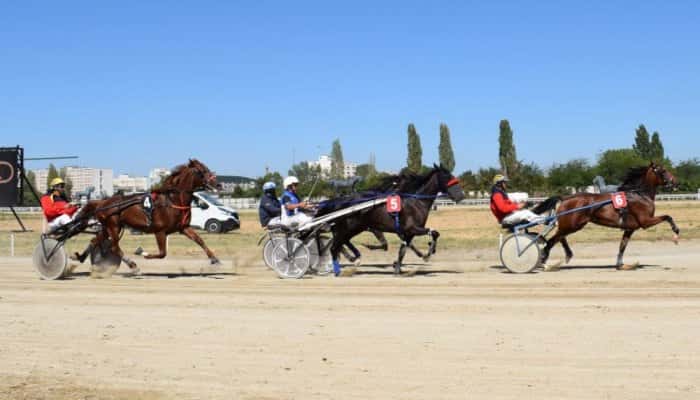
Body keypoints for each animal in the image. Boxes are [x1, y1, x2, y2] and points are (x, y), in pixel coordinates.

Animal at [74, 158, 219, 274]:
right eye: (202, 170)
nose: (218, 184)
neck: (172, 200)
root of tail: (102, 202)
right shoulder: (160, 231)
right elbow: (162, 254)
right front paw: (140, 251)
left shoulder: (183, 228)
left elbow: (199, 240)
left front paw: (214, 259)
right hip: (113, 226)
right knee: (114, 247)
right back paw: (133, 265)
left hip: (108, 227)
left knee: (95, 241)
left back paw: (81, 257)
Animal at [322, 164, 464, 274]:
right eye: (447, 177)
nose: (460, 195)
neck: (416, 202)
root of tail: (343, 201)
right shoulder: (412, 228)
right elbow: (434, 233)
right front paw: (429, 252)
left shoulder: (408, 232)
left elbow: (403, 249)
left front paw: (398, 266)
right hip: (349, 228)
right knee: (334, 247)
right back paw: (338, 269)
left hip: (353, 228)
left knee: (340, 243)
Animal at [536, 162, 680, 268]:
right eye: (663, 171)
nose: (675, 181)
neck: (639, 195)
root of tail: (566, 198)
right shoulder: (645, 221)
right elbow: (667, 217)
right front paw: (676, 233)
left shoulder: (630, 228)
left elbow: (622, 246)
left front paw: (620, 264)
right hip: (572, 225)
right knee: (553, 240)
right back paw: (544, 262)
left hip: (571, 225)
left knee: (559, 238)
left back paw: (565, 256)